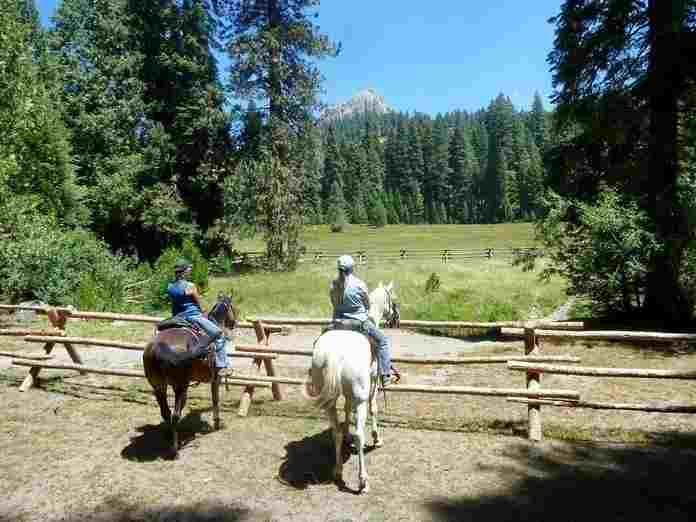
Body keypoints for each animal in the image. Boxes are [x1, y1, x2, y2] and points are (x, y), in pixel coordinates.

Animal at [143, 292, 238, 456]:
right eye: (232, 307)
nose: (233, 323)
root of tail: (157, 347)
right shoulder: (215, 378)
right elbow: (215, 400)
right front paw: (217, 423)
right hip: (179, 386)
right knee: (174, 415)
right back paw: (175, 450)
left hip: (158, 386)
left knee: (166, 412)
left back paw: (169, 435)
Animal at [304, 280, 396, 492]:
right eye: (393, 300)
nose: (396, 319)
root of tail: (335, 354)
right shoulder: (373, 384)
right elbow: (374, 408)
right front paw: (377, 438)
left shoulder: (347, 394)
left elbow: (346, 409)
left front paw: (346, 429)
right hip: (360, 399)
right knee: (360, 435)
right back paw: (363, 481)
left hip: (329, 400)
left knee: (335, 433)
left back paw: (338, 470)